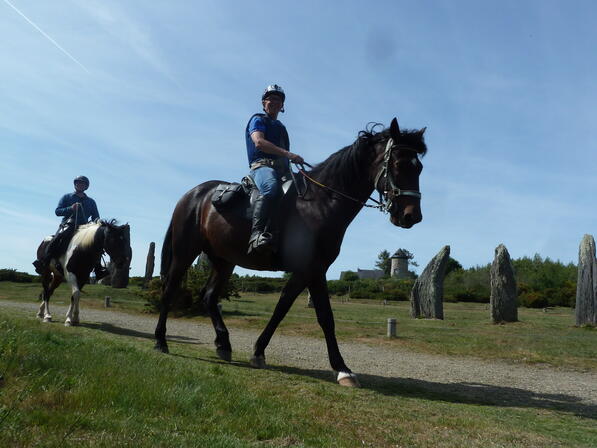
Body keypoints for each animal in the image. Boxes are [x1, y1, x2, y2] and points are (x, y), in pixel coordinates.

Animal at [154, 117, 424, 386]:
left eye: (419, 167)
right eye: (399, 164)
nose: (411, 216)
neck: (320, 203)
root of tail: (192, 194)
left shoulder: (311, 271)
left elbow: (284, 309)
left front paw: (259, 352)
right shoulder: (311, 270)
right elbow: (323, 317)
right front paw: (342, 369)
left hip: (224, 261)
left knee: (209, 297)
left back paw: (224, 344)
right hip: (185, 253)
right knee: (169, 291)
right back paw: (161, 341)